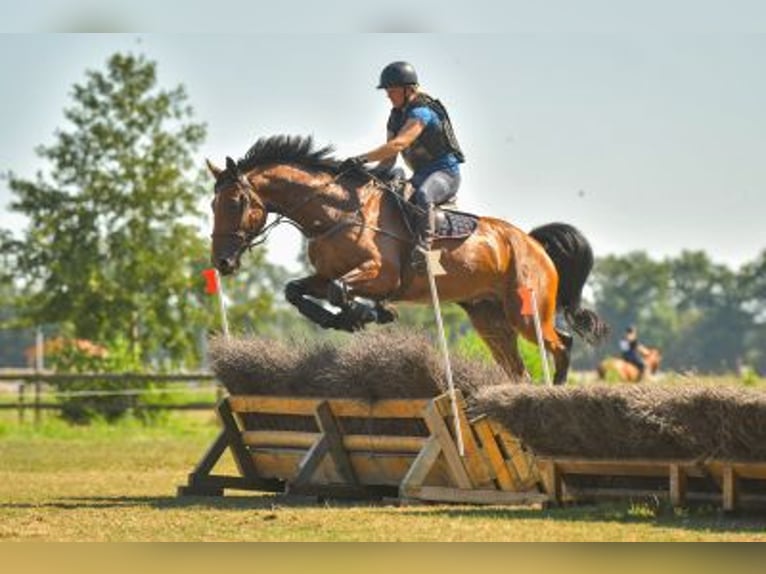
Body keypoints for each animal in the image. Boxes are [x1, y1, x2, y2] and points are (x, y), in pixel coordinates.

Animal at [207, 135, 609, 384]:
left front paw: (367, 314)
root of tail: (533, 243)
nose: (223, 263)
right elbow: (297, 290)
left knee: (562, 343)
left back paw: (559, 389)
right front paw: (341, 318)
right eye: (213, 204)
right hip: (489, 318)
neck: (335, 212)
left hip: (526, 311)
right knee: (518, 368)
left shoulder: (380, 275)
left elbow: (340, 291)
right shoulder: (324, 274)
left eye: (236, 202)